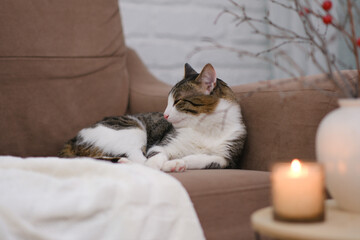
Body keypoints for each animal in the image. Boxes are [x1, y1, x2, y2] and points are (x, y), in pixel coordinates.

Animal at [58, 62, 248, 172]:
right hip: (132, 129)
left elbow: (204, 159)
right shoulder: (162, 144)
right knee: (136, 158)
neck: (205, 129)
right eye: (168, 101)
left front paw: (182, 161)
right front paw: (166, 164)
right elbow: (155, 157)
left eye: (177, 101)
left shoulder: (228, 159)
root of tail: (73, 139)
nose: (165, 114)